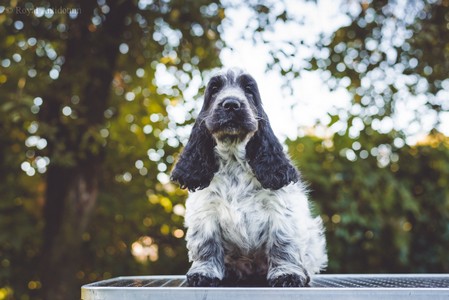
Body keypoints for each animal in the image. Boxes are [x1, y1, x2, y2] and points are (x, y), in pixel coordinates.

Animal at [170, 69, 328, 288]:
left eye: (249, 89)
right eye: (214, 89)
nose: (231, 104)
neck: (234, 158)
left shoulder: (280, 207)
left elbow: (282, 242)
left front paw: (287, 275)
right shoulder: (205, 209)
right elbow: (206, 244)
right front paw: (204, 273)